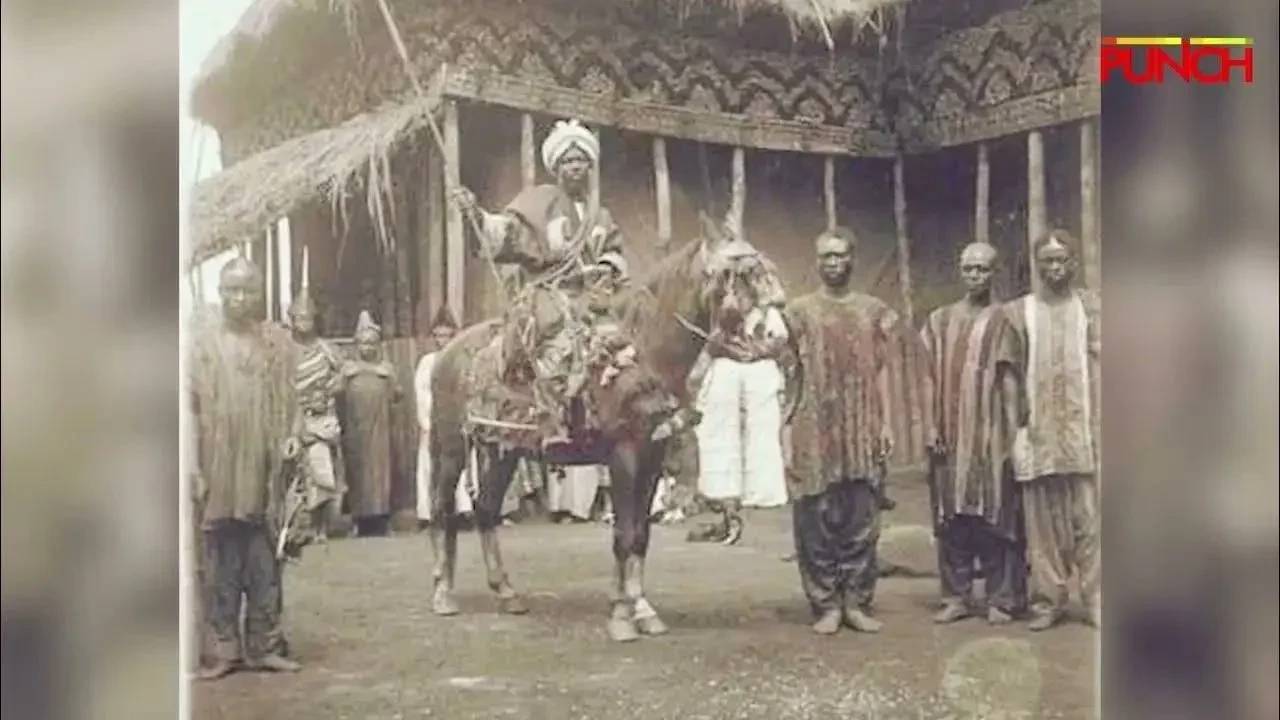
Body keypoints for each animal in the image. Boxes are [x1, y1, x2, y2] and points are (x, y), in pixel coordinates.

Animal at [425, 214, 795, 643]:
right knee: (442, 509)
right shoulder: (624, 456)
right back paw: (443, 594)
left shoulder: (652, 456)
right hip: (450, 446)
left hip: (501, 449)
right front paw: (621, 615)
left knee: (485, 508)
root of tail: (449, 351)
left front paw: (643, 610)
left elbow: (640, 536)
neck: (643, 353)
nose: (777, 336)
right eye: (737, 275)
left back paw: (505, 591)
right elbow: (623, 535)